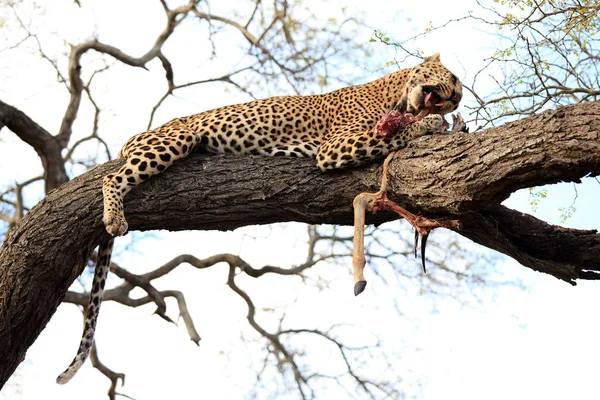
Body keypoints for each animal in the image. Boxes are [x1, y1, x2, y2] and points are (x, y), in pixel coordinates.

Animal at [56, 51, 464, 382]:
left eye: (456, 93)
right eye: (455, 80)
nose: (455, 99)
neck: (396, 92)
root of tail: (134, 138)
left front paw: (445, 124)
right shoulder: (336, 146)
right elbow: (397, 132)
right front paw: (432, 125)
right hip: (175, 139)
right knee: (112, 177)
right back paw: (114, 218)